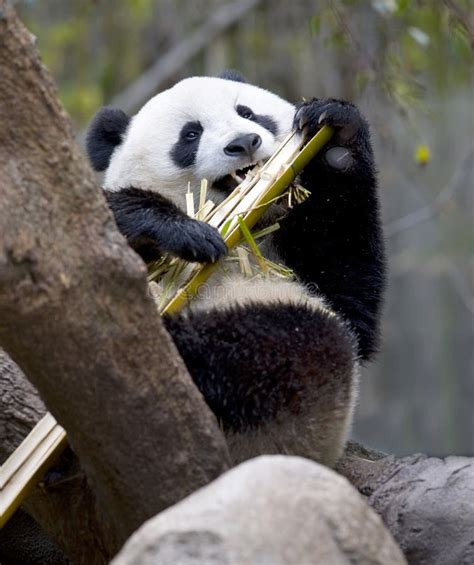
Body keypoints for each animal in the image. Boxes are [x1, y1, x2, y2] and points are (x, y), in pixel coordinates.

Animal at [86, 70, 386, 464]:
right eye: (190, 134)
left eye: (248, 112)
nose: (244, 142)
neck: (240, 233)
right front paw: (182, 230)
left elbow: (347, 284)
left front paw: (336, 129)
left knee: (285, 342)